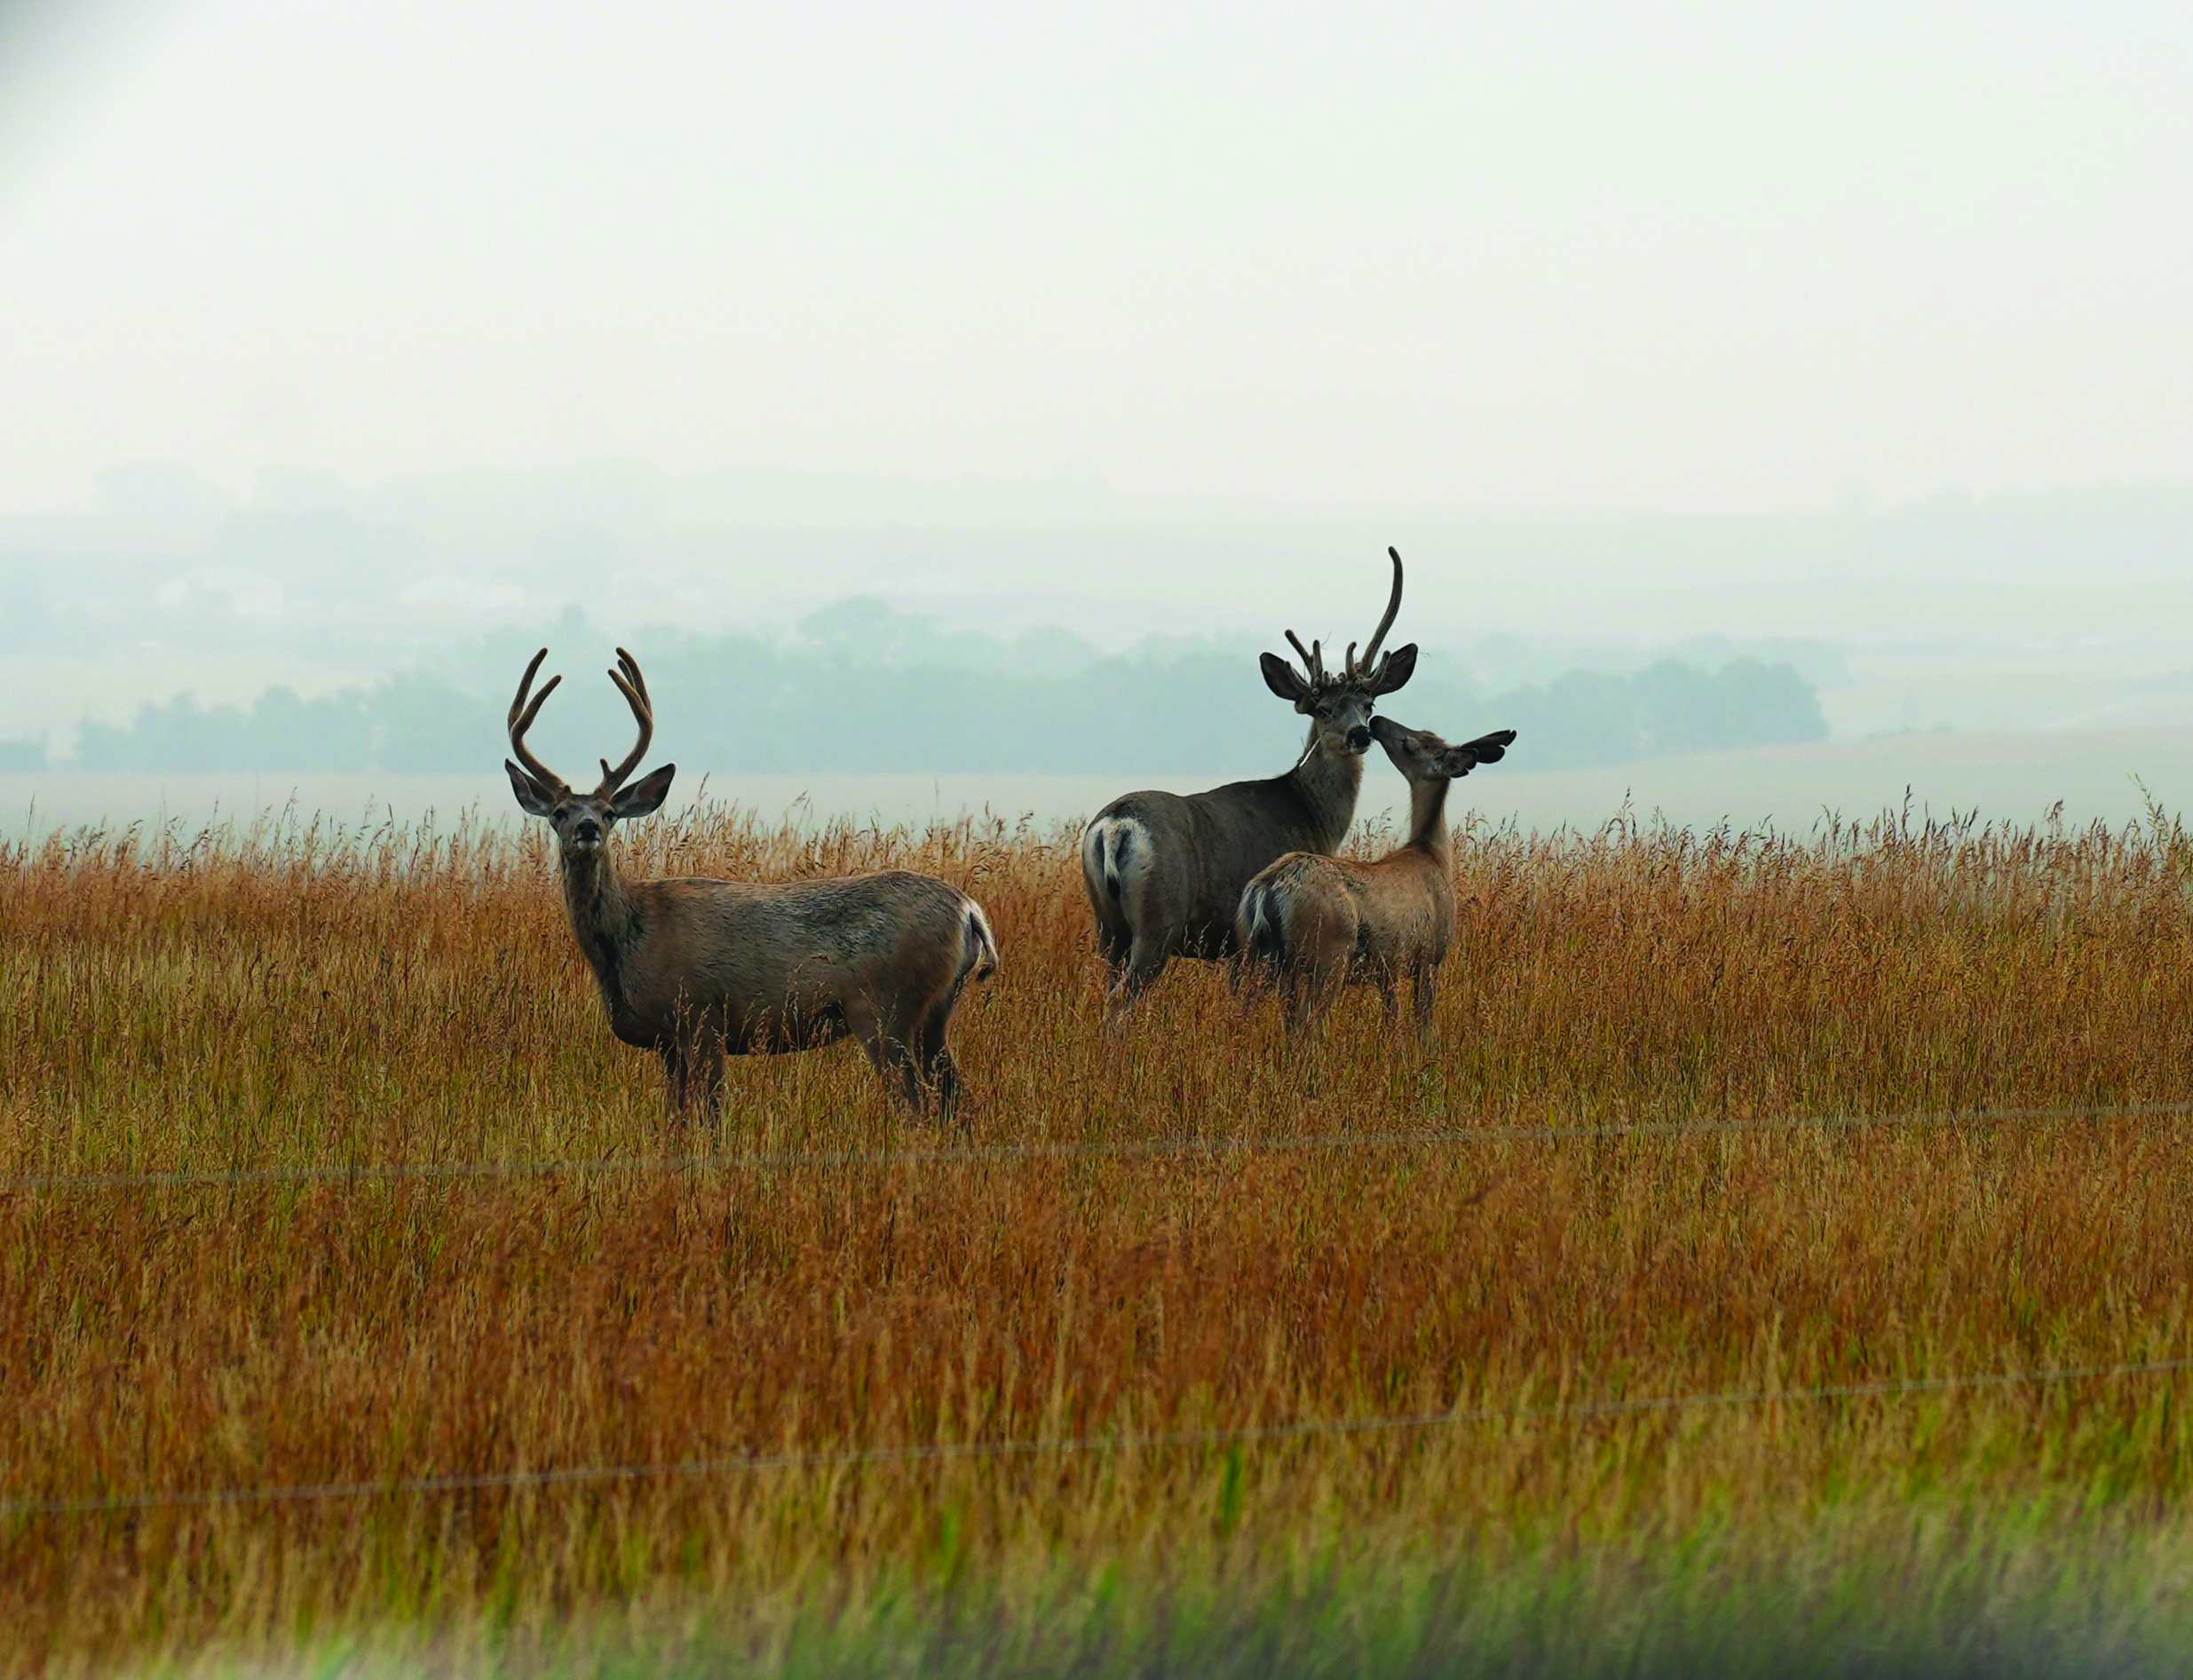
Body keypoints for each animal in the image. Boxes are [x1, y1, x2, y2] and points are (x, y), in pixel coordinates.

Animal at [503, 647, 998, 1123]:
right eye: (559, 812)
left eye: (609, 813)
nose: (587, 827)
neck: (628, 939)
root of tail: (969, 911)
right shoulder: (668, 1043)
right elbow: (674, 1120)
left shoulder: (702, 1015)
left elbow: (712, 1114)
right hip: (934, 1014)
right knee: (959, 1102)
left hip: (882, 1008)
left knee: (916, 1105)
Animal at [1079, 547, 1418, 1016]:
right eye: (1323, 709)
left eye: (1368, 704)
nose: (1360, 734)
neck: (1311, 814)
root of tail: (1114, 827)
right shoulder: (1245, 942)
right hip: (1159, 918)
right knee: (1120, 1000)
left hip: (1107, 925)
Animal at [1236, 715, 1515, 1042]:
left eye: (1412, 742)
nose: (1377, 721)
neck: (1433, 855)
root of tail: (1267, 887)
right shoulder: (1430, 956)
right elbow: (1422, 1023)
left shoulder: (1389, 967)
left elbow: (1392, 1019)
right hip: (1327, 954)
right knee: (1306, 1026)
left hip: (1258, 954)